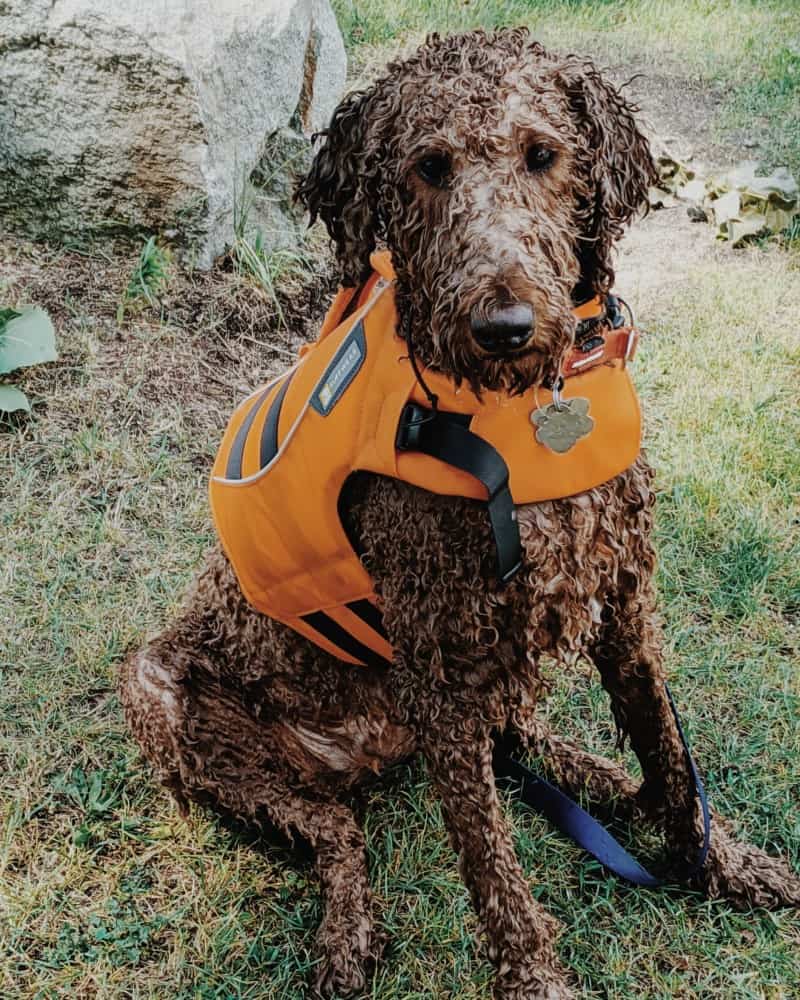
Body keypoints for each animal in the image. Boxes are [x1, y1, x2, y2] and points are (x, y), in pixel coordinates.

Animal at [119, 27, 800, 996]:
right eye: (428, 168)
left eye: (544, 156)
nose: (504, 326)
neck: (521, 411)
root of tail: (362, 749)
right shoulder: (441, 668)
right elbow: (492, 862)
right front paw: (535, 976)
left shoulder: (626, 603)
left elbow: (670, 752)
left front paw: (721, 862)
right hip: (165, 694)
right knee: (337, 831)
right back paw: (347, 933)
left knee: (523, 739)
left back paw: (603, 779)